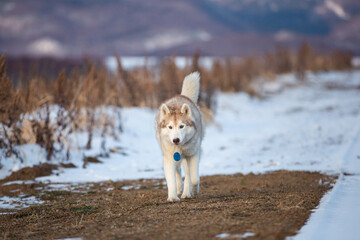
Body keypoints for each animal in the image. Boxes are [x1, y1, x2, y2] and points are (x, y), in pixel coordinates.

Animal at [155, 71, 204, 202]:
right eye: (170, 127)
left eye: (182, 126)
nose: (175, 140)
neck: (180, 148)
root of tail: (182, 96)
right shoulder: (169, 158)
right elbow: (171, 179)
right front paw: (172, 196)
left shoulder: (193, 155)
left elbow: (194, 178)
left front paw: (193, 191)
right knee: (178, 170)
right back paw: (179, 189)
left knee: (188, 174)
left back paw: (186, 192)